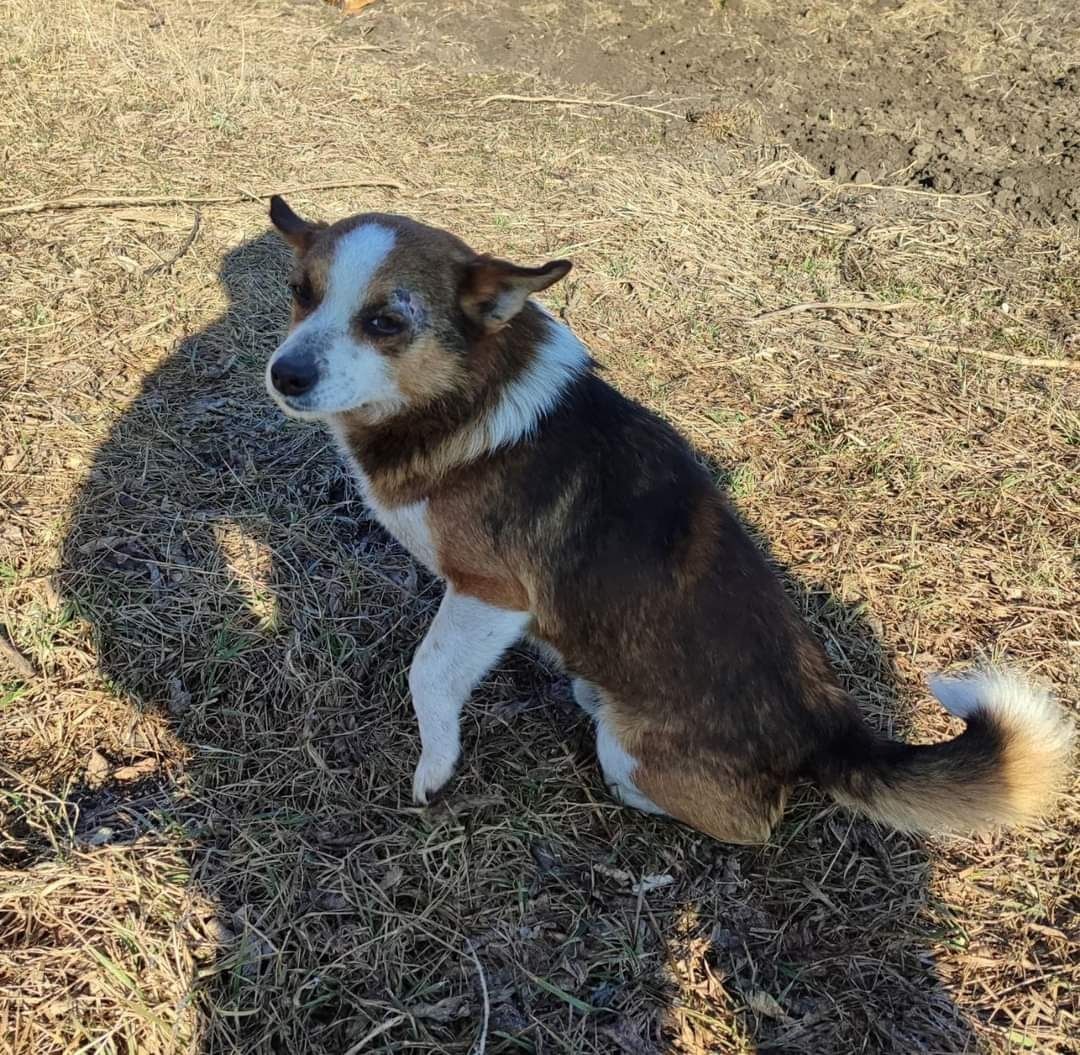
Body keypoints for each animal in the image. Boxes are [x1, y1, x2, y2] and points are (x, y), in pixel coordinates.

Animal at [263, 195, 1071, 837]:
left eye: (385, 321)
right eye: (300, 293)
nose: (284, 375)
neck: (460, 395)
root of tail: (824, 731)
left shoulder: (492, 592)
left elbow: (429, 672)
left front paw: (434, 768)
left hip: (634, 752)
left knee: (747, 822)